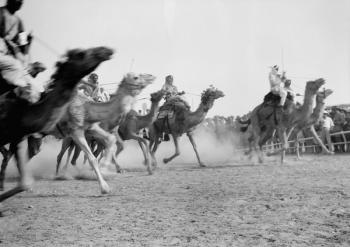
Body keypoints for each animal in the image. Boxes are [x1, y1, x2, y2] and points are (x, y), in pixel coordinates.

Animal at [0, 45, 113, 201]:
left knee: (28, 154)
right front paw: (104, 187)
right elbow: (91, 157)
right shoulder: (75, 131)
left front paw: (106, 172)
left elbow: (109, 139)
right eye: (80, 54)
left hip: (33, 137)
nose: (107, 50)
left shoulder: (90, 128)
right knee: (10, 155)